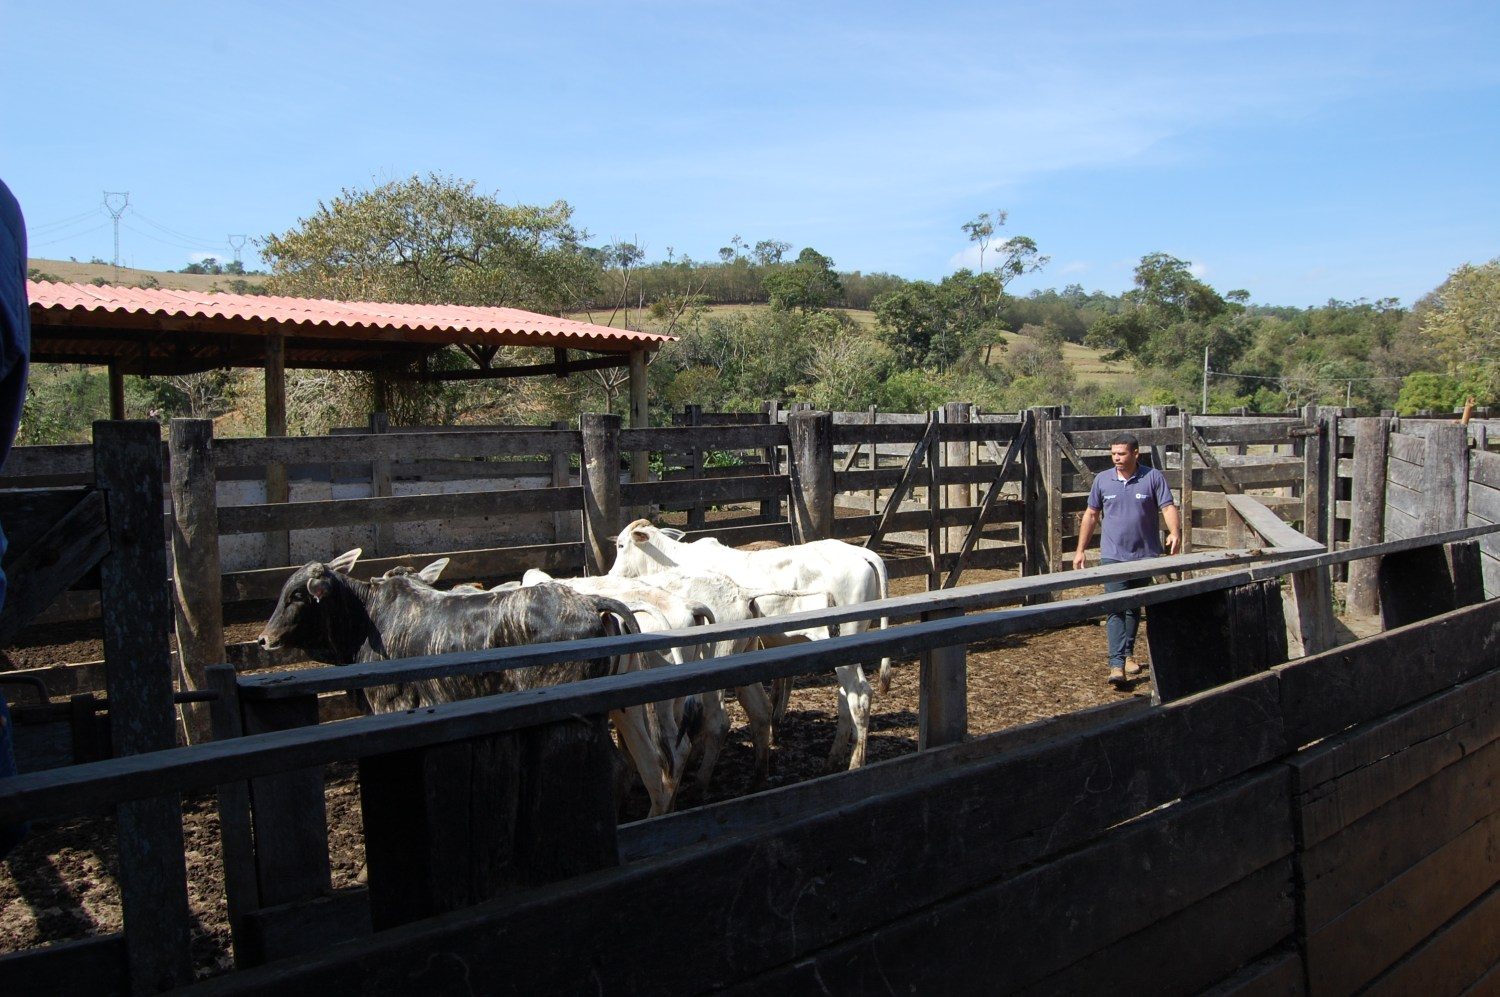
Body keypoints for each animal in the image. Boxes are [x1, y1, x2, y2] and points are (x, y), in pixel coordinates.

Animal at [609, 521, 888, 767]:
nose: (611, 575)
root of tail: (862, 553)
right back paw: (833, 759)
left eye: (621, 545)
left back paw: (855, 763)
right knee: (846, 697)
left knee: (860, 696)